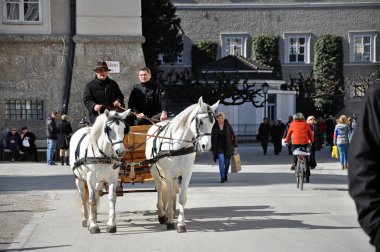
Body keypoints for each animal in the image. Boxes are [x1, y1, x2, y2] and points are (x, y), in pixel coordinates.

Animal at [145, 96, 218, 232]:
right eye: (200, 122)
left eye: (213, 123)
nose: (206, 146)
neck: (179, 144)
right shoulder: (168, 173)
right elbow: (169, 195)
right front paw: (169, 222)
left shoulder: (187, 172)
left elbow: (182, 197)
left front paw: (180, 223)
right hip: (155, 170)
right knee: (160, 188)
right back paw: (162, 214)